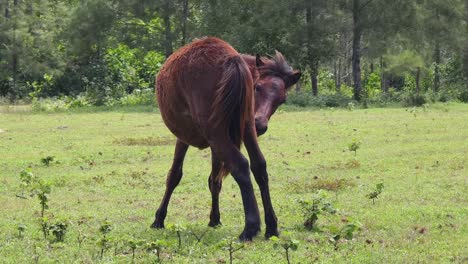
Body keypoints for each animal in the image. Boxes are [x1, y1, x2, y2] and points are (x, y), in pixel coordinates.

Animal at [152, 37, 302, 241]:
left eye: (282, 99)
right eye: (257, 87)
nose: (261, 124)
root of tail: (233, 61)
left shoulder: (185, 138)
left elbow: (174, 175)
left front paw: (159, 218)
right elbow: (214, 180)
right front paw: (214, 218)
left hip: (216, 133)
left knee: (241, 166)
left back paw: (250, 227)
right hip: (244, 128)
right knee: (259, 166)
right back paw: (271, 226)